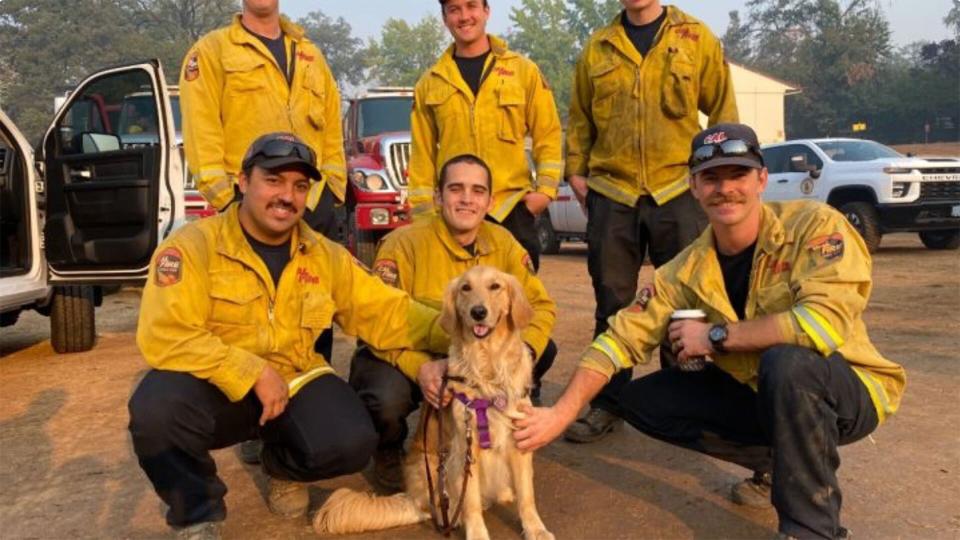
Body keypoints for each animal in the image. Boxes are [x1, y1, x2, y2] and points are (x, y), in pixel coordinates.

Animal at [316, 266, 556, 540]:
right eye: (466, 288)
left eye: (495, 286)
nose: (478, 312)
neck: (488, 366)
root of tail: (415, 500)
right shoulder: (465, 449)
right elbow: (471, 502)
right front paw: (478, 533)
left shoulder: (519, 441)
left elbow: (527, 496)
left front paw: (536, 529)